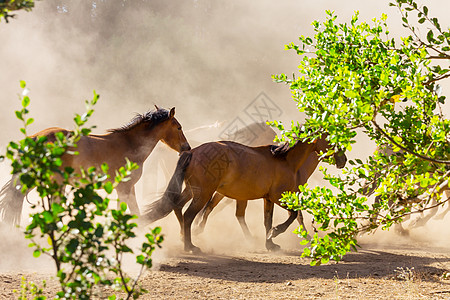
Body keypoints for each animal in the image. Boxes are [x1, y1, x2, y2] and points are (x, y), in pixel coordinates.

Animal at [0, 105, 190, 225]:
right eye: (179, 127)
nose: (187, 148)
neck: (129, 144)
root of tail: (35, 137)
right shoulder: (124, 188)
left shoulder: (126, 189)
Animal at [142, 137, 346, 253]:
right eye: (330, 140)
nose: (343, 160)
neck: (286, 161)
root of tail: (192, 152)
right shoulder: (279, 197)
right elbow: (294, 215)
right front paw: (276, 232)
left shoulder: (268, 198)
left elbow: (267, 220)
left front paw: (270, 244)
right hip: (203, 193)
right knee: (188, 215)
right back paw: (190, 246)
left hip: (192, 190)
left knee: (177, 206)